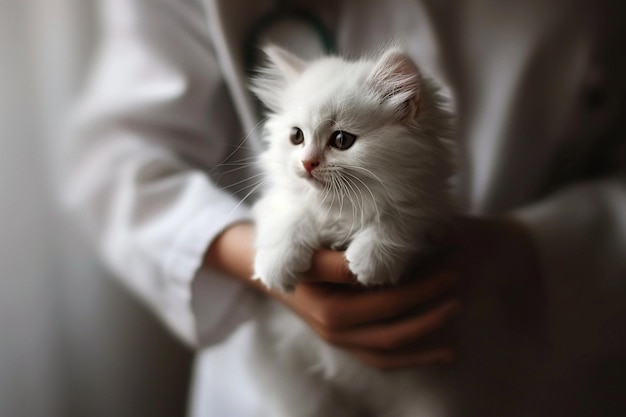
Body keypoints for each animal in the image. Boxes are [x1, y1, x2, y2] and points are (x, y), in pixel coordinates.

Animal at [246, 45, 456, 416]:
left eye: (342, 140)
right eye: (296, 136)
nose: (307, 163)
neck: (340, 209)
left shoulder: (433, 210)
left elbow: (399, 218)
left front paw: (370, 261)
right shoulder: (280, 202)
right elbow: (290, 216)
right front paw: (277, 268)